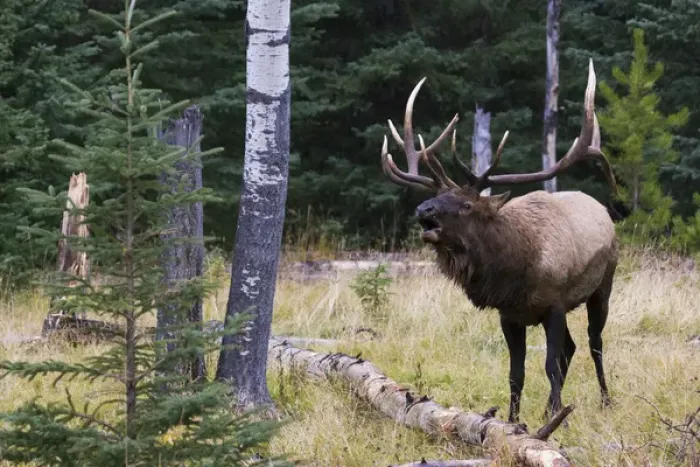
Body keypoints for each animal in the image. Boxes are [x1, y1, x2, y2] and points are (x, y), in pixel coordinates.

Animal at [380, 60, 618, 424]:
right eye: (437, 197)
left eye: (467, 205)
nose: (423, 210)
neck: (517, 270)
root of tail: (604, 211)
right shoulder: (510, 315)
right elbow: (516, 373)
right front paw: (514, 421)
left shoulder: (555, 303)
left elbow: (549, 364)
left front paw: (557, 416)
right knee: (572, 347)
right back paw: (549, 406)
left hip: (602, 285)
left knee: (594, 342)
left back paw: (604, 400)